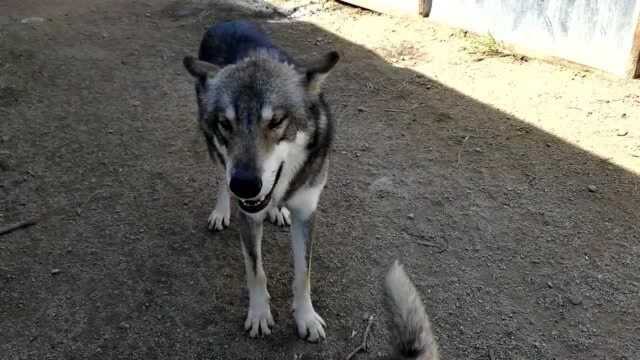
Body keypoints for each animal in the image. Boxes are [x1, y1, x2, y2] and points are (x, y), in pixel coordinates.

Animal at [181, 21, 338, 342]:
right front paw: (259, 315)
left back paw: (277, 210)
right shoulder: (248, 214)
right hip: (215, 151)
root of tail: (226, 21)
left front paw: (306, 318)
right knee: (220, 178)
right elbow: (256, 271)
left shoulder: (307, 212)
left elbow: (303, 273)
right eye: (226, 123)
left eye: (276, 121)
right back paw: (221, 211)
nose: (244, 185)